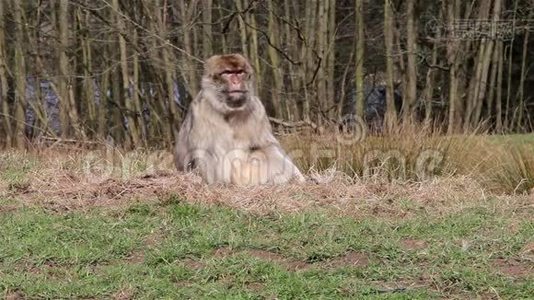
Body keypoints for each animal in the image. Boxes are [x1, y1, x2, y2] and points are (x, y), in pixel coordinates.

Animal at [176, 53, 306, 185]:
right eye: (227, 73)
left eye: (240, 72)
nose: (236, 81)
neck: (231, 111)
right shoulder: (200, 112)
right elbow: (205, 154)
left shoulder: (258, 110)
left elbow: (269, 144)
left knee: (267, 150)